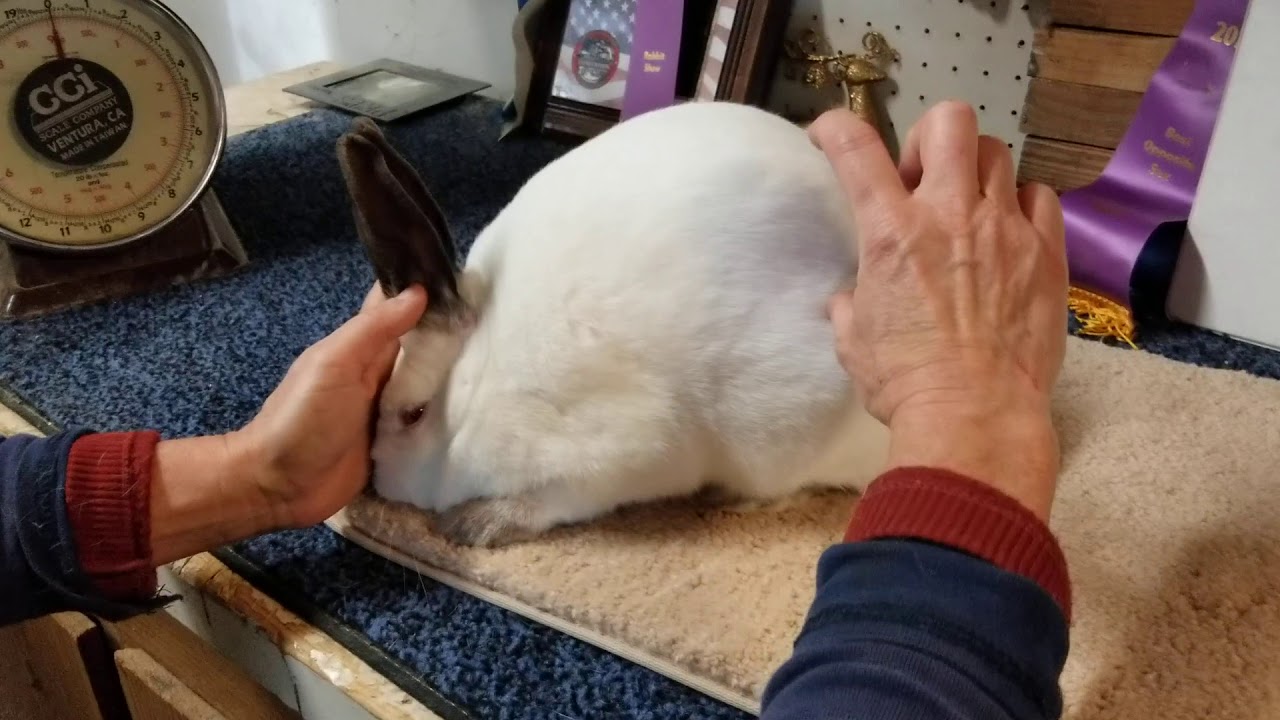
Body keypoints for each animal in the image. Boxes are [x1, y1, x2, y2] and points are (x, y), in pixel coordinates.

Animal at [335, 100, 891, 548]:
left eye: (412, 414)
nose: (380, 479)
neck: (481, 377)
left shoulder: (621, 452)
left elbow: (555, 500)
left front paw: (474, 524)